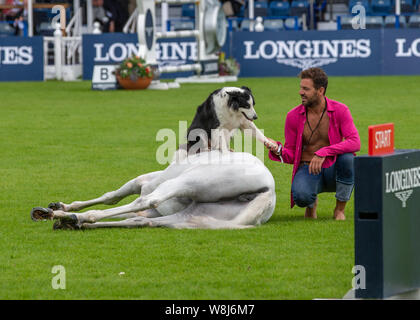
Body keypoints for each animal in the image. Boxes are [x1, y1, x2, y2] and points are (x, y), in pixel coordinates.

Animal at [30, 86, 278, 229]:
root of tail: (269, 188)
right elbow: (117, 202)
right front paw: (59, 208)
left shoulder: (141, 182)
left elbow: (113, 197)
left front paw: (63, 209)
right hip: (190, 216)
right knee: (143, 220)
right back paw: (70, 220)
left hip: (188, 183)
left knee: (146, 201)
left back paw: (76, 217)